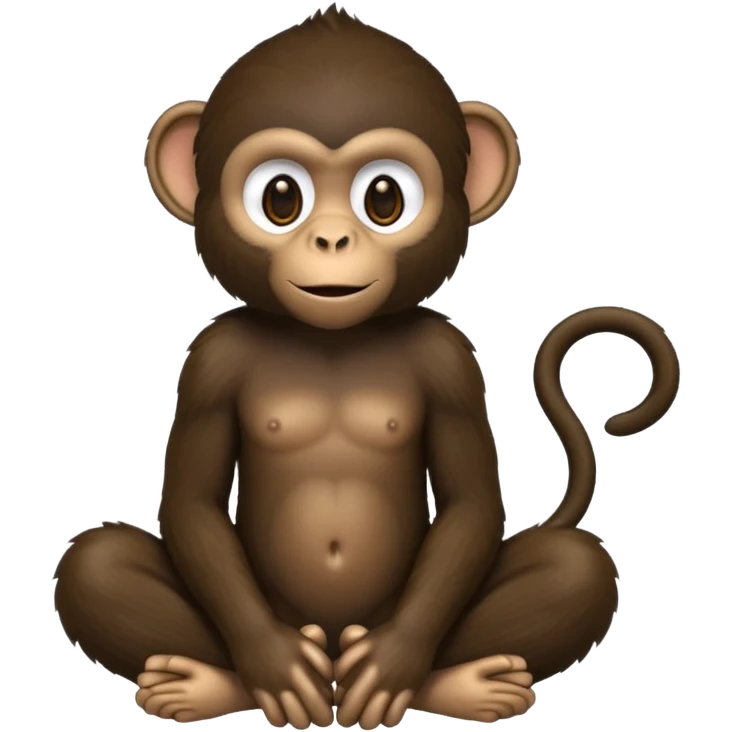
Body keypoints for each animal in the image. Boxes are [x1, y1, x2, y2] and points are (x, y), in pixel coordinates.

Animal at [53, 5, 680, 729]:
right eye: (280, 198)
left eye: (384, 198)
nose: (332, 239)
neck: (334, 339)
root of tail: (330, 649)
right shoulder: (211, 359)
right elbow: (191, 500)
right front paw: (271, 663)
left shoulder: (450, 360)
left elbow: (470, 500)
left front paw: (393, 664)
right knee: (97, 561)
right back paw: (204, 683)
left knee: (573, 566)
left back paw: (465, 683)